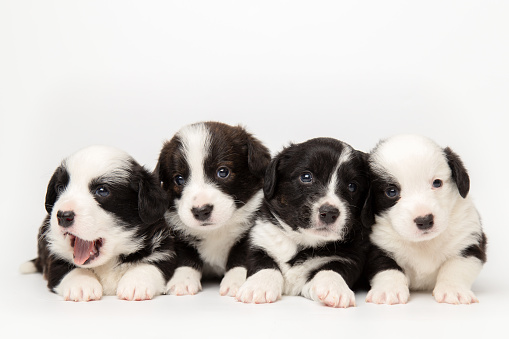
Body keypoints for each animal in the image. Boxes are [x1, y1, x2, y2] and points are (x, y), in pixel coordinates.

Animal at [20, 146, 177, 302]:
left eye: (102, 191)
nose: (63, 216)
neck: (107, 263)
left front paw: (136, 283)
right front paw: (82, 284)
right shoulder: (55, 257)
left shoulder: (164, 248)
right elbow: (70, 269)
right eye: (60, 188)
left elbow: (152, 265)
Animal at [234, 137, 370, 308]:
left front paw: (334, 287)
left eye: (352, 186)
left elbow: (334, 268)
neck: (304, 240)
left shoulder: (352, 256)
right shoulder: (259, 240)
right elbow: (263, 263)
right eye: (306, 177)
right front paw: (259, 285)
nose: (329, 213)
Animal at [364, 135, 486, 306]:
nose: (425, 220)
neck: (424, 243)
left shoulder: (468, 241)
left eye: (437, 183)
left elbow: (456, 266)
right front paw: (389, 290)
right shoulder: (377, 246)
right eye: (391, 192)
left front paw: (453, 290)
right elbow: (386, 267)